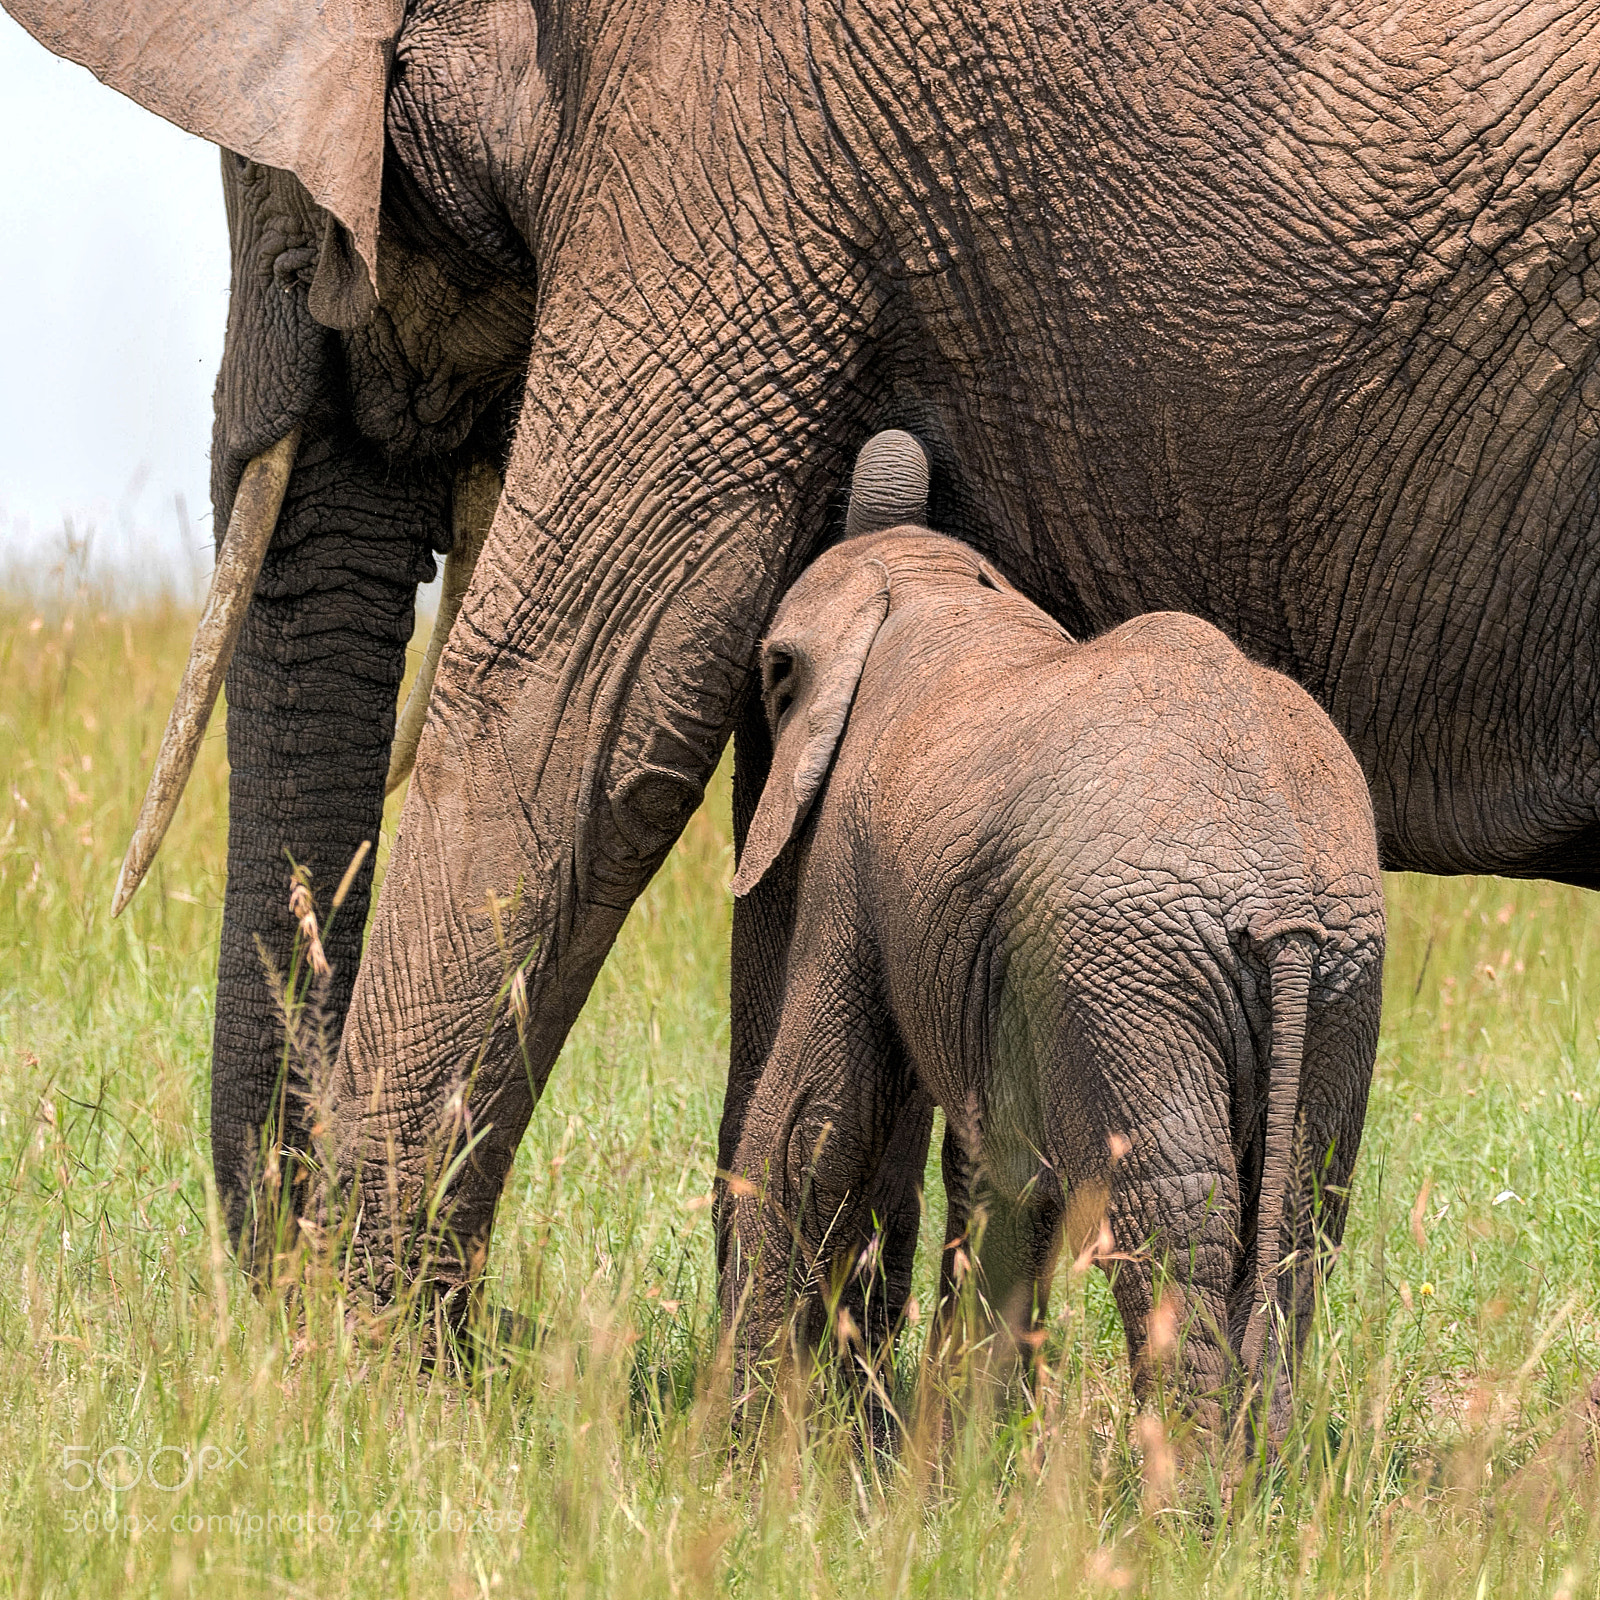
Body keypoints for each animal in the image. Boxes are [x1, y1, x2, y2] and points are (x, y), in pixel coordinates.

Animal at [8, 3, 1599, 1313]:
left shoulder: (732, 137)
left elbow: (578, 708)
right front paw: (807, 1447)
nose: (265, 1313)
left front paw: (364, 1389)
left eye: (284, 208)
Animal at [719, 432, 1387, 1440]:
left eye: (772, 672)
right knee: (1297, 1230)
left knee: (1173, 1224)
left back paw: (1186, 1482)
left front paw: (737, 1443)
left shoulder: (854, 849)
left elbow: (812, 1123)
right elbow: (999, 1175)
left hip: (1130, 972)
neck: (934, 586)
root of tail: (1280, 892)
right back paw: (1260, 1474)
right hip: (1338, 978)